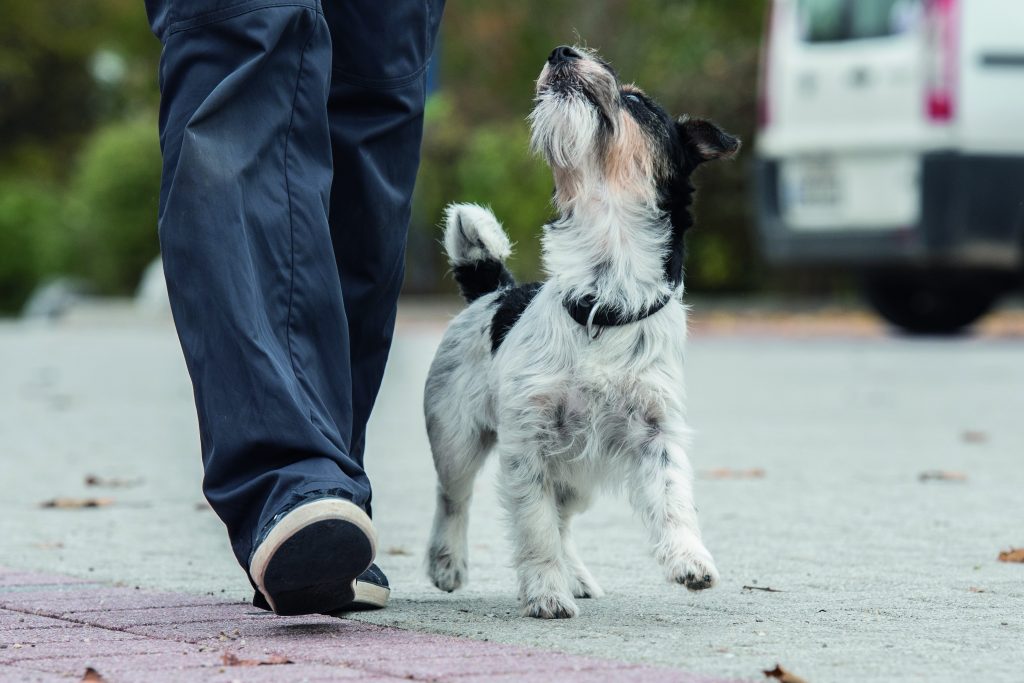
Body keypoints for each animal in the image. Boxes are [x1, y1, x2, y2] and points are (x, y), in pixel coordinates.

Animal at [421, 42, 737, 618]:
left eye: (637, 101)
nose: (561, 51)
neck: (602, 302)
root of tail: (494, 288)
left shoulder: (656, 432)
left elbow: (673, 496)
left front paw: (689, 557)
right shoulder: (527, 444)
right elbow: (535, 528)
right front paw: (546, 591)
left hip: (578, 475)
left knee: (564, 520)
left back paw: (579, 576)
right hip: (457, 440)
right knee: (454, 499)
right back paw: (448, 562)